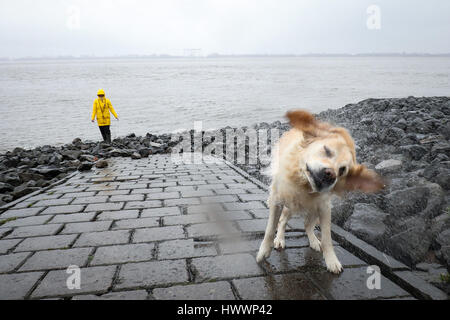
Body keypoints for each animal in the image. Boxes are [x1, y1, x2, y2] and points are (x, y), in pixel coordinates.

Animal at [256, 110, 384, 272]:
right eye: (327, 150)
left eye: (342, 170)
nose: (331, 174)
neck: (304, 184)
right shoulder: (277, 200)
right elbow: (270, 228)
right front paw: (264, 251)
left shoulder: (324, 208)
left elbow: (327, 237)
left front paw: (331, 260)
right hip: (290, 206)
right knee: (283, 220)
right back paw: (280, 239)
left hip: (312, 210)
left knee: (307, 225)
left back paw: (314, 241)